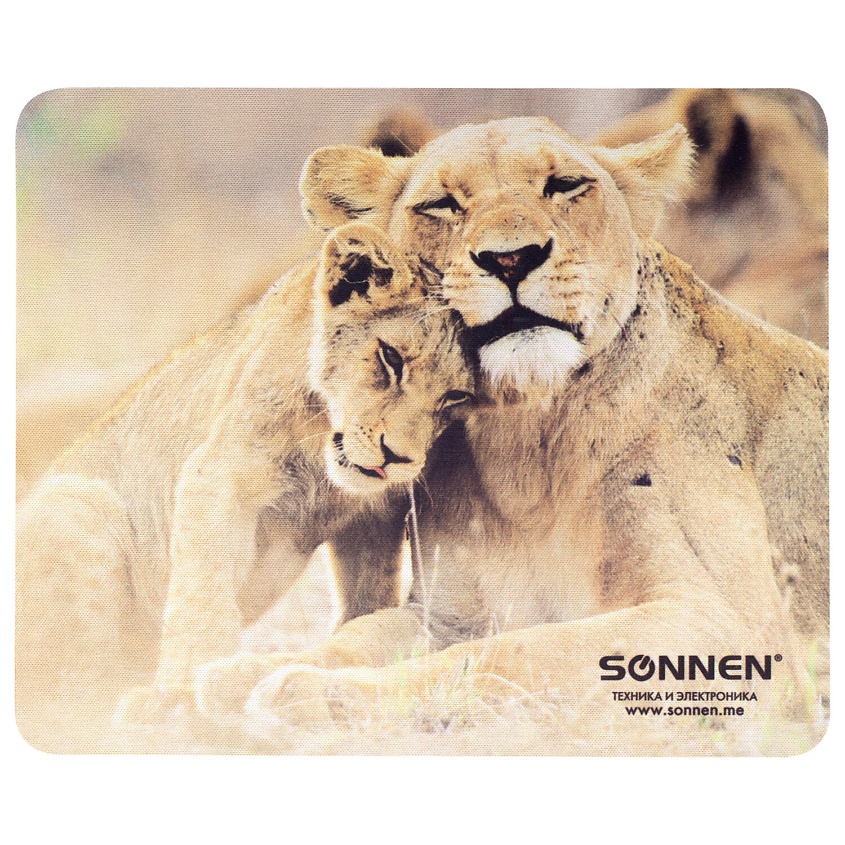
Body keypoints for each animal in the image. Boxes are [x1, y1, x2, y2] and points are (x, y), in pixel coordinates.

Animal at [15, 222, 474, 747]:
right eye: (390, 357)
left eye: (456, 396)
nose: (396, 458)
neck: (321, 446)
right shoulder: (217, 475)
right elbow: (203, 599)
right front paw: (180, 695)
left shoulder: (373, 517)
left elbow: (367, 598)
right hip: (76, 503)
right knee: (63, 687)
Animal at [198, 118, 827, 744]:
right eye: (442, 204)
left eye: (565, 185)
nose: (511, 259)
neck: (524, 446)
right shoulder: (446, 613)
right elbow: (357, 636)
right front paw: (227, 675)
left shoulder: (735, 626)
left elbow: (515, 652)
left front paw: (314, 693)